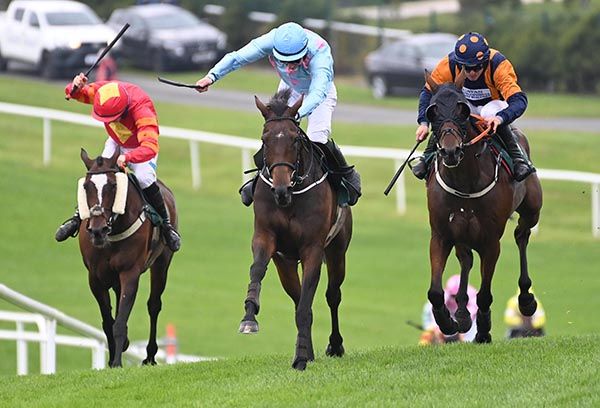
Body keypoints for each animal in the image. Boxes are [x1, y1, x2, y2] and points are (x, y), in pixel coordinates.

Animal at [77, 149, 176, 366]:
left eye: (113, 186)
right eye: (86, 186)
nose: (97, 230)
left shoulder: (130, 272)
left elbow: (120, 322)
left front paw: (116, 362)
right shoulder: (94, 277)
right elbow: (108, 322)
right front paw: (114, 355)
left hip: (162, 263)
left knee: (154, 305)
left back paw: (150, 356)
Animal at [422, 71, 544, 342]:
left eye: (462, 110)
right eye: (432, 112)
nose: (450, 151)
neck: (466, 181)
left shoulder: (491, 240)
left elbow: (485, 294)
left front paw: (484, 330)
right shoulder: (441, 234)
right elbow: (435, 291)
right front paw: (448, 322)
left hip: (532, 209)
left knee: (522, 235)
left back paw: (526, 299)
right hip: (462, 234)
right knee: (466, 258)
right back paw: (462, 313)